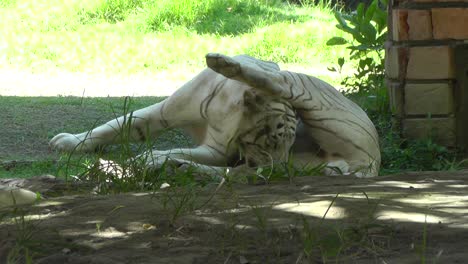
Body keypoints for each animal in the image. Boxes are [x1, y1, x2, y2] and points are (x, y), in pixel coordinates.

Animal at [49, 53, 382, 177]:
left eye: (286, 144)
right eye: (270, 141)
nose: (274, 168)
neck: (231, 104)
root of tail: (372, 161)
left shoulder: (217, 150)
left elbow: (176, 148)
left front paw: (148, 158)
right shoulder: (164, 112)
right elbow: (116, 125)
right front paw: (68, 143)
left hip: (311, 98)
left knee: (278, 81)